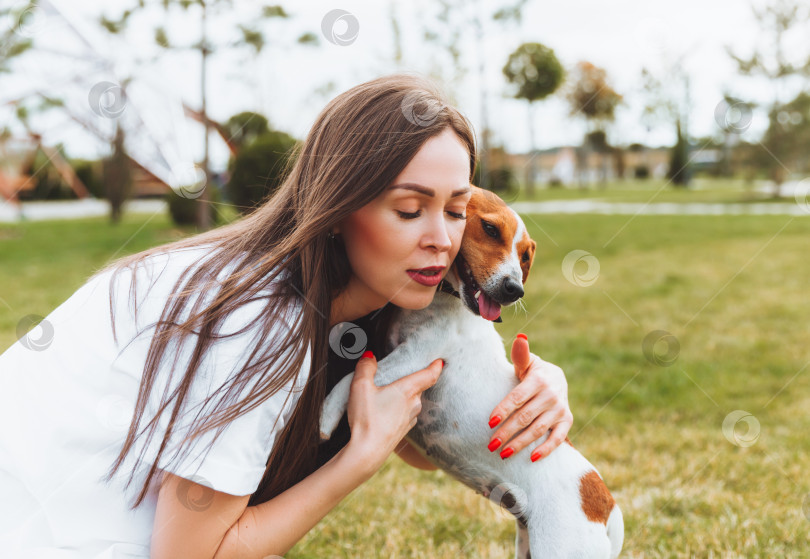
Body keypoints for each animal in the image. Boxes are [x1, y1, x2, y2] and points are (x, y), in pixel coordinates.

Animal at [318, 186, 620, 556]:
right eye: (490, 229)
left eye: (525, 256)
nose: (514, 289)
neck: (445, 299)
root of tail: (607, 507)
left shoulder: (415, 356)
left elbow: (351, 377)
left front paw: (326, 414)